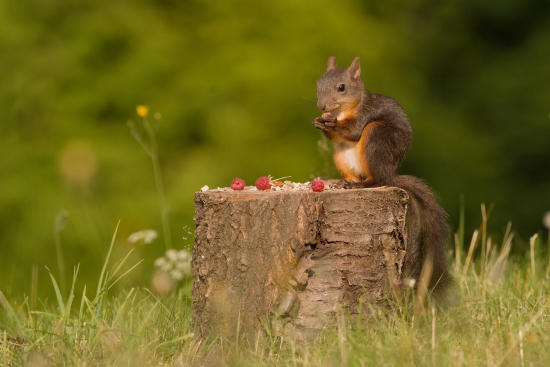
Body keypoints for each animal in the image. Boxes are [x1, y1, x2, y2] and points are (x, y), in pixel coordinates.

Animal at [312, 55, 460, 308]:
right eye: (317, 84)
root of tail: (391, 174)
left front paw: (331, 124)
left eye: (342, 87)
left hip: (376, 138)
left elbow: (352, 132)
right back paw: (339, 181)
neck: (346, 109)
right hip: (340, 156)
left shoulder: (364, 115)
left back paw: (361, 184)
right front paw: (319, 122)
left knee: (376, 179)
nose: (322, 106)